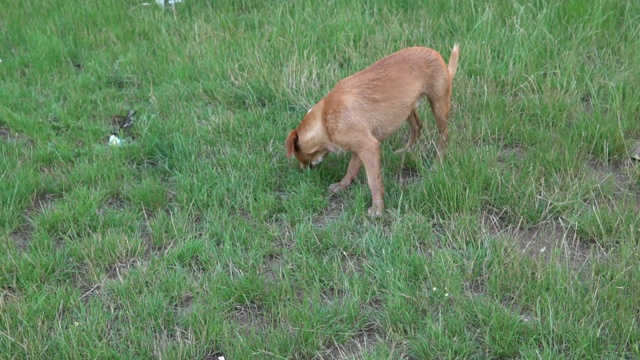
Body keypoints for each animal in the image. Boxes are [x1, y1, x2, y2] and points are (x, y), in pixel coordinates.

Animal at [286, 43, 460, 215]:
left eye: (298, 156)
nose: (302, 170)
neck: (324, 119)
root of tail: (438, 56)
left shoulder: (368, 147)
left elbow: (373, 181)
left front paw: (377, 208)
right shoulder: (360, 148)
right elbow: (351, 168)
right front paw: (343, 185)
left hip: (438, 106)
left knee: (443, 136)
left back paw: (437, 164)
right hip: (406, 108)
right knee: (417, 126)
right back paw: (405, 151)